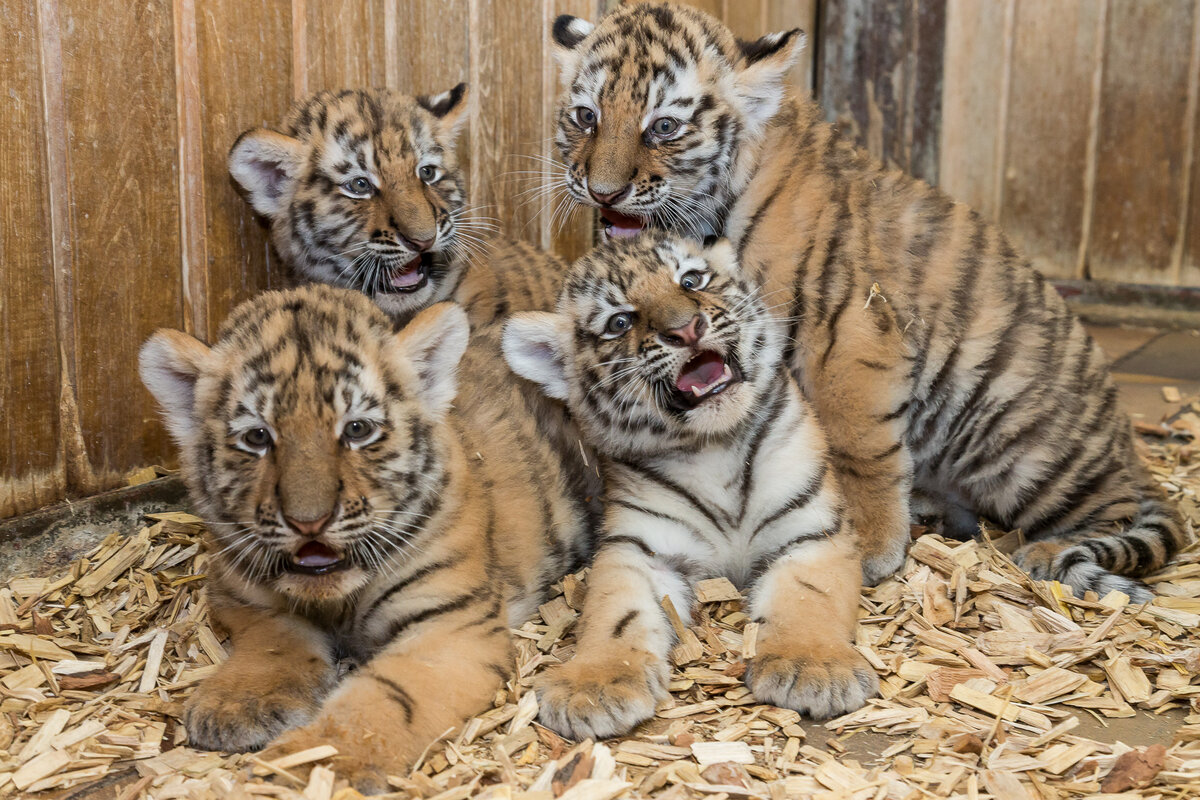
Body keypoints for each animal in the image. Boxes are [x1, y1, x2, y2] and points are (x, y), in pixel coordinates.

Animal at [138, 285, 598, 792]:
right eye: (257, 437)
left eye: (357, 429)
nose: (309, 522)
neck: (337, 600)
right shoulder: (241, 595)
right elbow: (273, 640)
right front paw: (239, 702)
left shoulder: (451, 625)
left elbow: (382, 700)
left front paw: (312, 766)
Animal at [503, 234, 877, 737]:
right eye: (619, 321)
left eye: (691, 280)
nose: (686, 329)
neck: (714, 446)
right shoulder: (639, 549)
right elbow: (614, 612)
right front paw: (594, 685)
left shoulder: (812, 530)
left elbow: (808, 594)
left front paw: (812, 666)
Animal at [545, 1, 1189, 601]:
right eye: (586, 117)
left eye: (663, 128)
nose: (602, 192)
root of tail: (1130, 449)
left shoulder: (849, 334)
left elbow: (857, 443)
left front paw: (868, 546)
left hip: (1025, 451)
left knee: (1114, 512)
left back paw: (1047, 550)